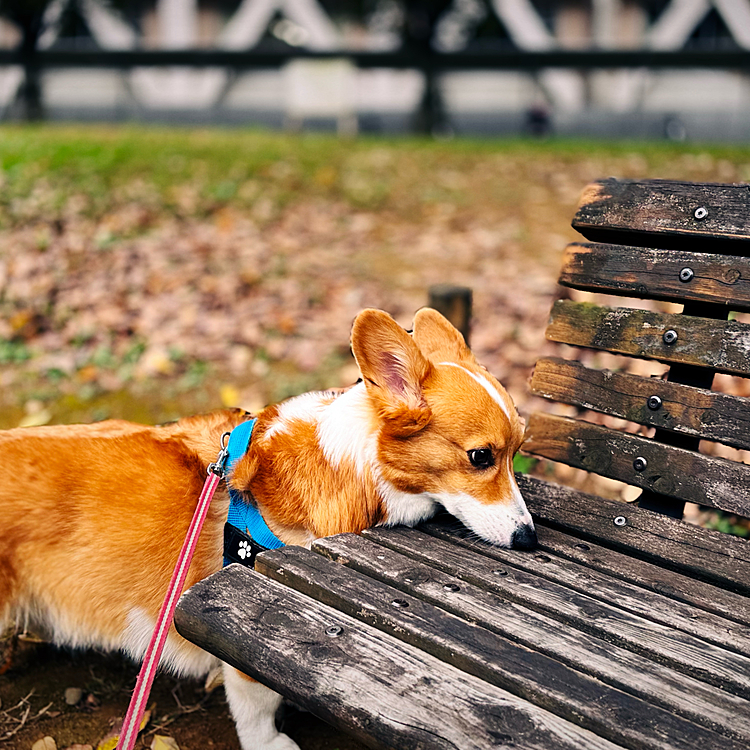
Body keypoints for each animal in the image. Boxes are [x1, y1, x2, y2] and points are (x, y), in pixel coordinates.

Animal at [2, 308, 536, 750]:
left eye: (516, 452)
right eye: (480, 457)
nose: (529, 540)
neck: (353, 467)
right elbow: (256, 701)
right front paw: (270, 741)